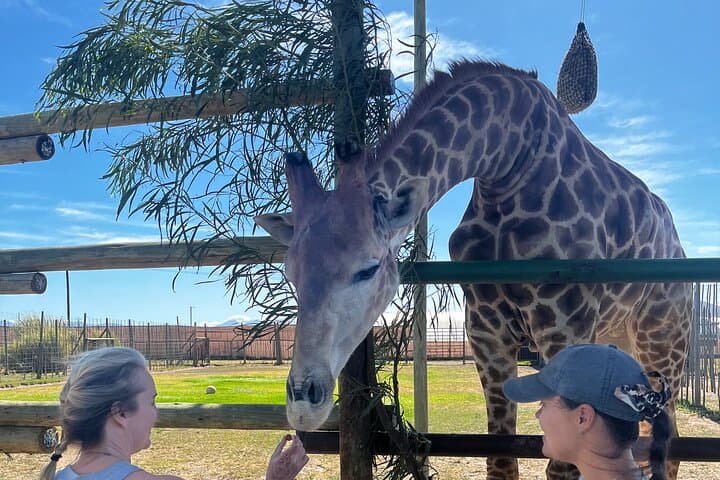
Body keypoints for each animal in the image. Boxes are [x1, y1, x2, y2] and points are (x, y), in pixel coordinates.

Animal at [254, 60, 691, 479]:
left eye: (368, 268)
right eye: (291, 272)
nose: (303, 402)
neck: (510, 164)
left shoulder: (564, 328)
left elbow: (562, 466)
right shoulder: (485, 332)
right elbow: (501, 460)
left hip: (663, 341)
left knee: (667, 436)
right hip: (617, 338)